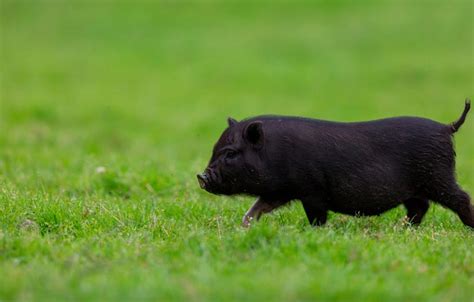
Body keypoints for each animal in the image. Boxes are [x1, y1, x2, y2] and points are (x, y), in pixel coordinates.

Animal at [196, 100, 470, 228]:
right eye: (216, 150)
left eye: (231, 154)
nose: (201, 177)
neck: (274, 152)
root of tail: (446, 127)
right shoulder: (280, 191)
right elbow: (257, 207)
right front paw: (244, 226)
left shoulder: (311, 192)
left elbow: (317, 217)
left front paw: (314, 232)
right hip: (417, 188)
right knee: (419, 207)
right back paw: (401, 228)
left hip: (438, 176)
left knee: (461, 197)